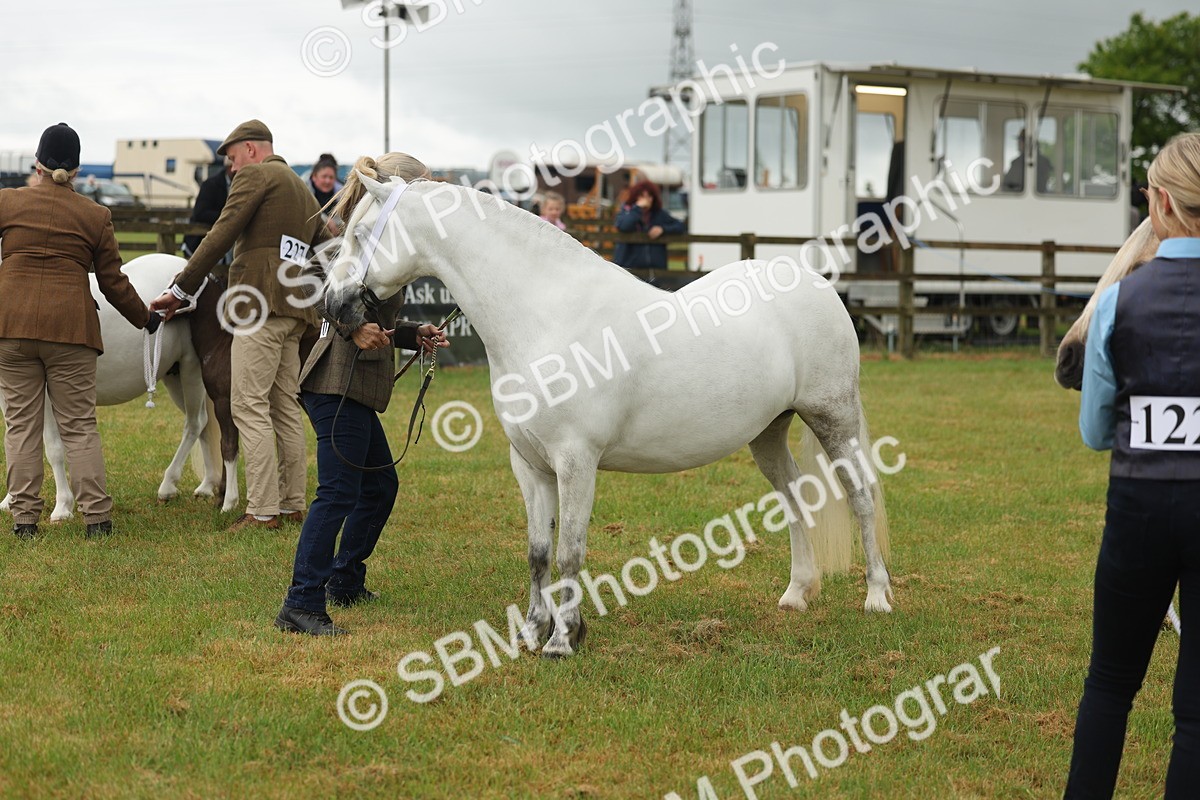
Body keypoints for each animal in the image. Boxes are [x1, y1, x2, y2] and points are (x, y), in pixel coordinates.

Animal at [322, 175, 893, 657]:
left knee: (861, 497)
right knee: (795, 498)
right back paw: (797, 594)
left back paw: (877, 598)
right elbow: (538, 552)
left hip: (833, 417)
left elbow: (570, 552)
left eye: (362, 233)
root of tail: (814, 282)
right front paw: (532, 632)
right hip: (768, 432)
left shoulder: (576, 462)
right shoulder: (529, 465)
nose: (332, 306)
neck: (545, 316)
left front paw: (563, 640)